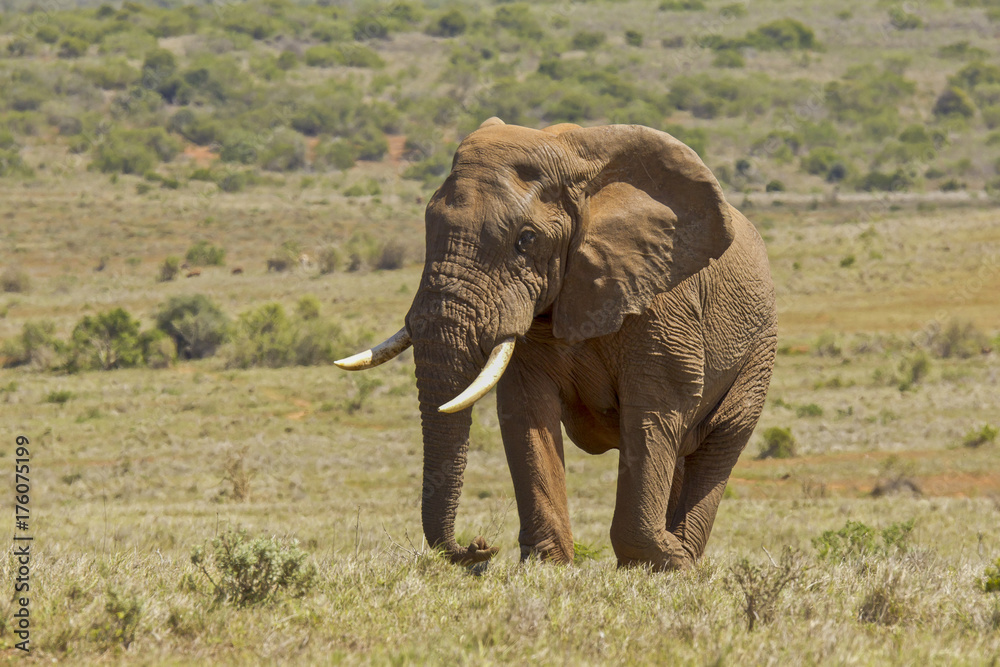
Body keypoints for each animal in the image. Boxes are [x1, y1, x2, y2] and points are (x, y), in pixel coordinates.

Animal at [340, 118, 776, 568]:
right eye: (428, 226)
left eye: (526, 239)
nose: (479, 547)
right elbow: (527, 407)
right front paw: (546, 564)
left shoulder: (663, 300)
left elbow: (655, 408)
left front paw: (663, 562)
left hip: (759, 349)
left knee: (720, 441)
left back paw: (685, 555)